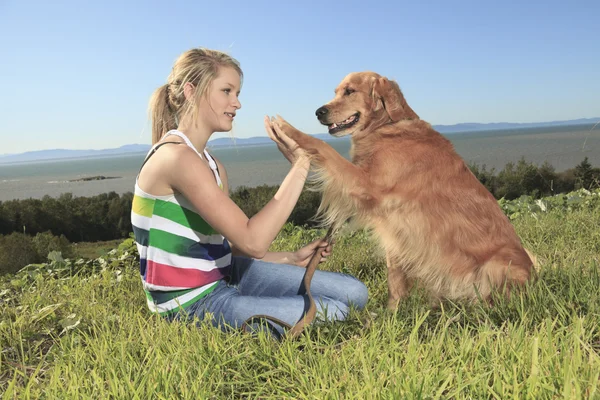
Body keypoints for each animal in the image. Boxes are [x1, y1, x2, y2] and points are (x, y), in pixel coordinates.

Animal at [270, 71, 536, 310]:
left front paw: (287, 129)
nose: (318, 112)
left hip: (495, 266)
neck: (386, 126)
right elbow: (395, 277)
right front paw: (391, 313)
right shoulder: (394, 229)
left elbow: (323, 146)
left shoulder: (366, 185)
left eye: (349, 91)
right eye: (336, 92)